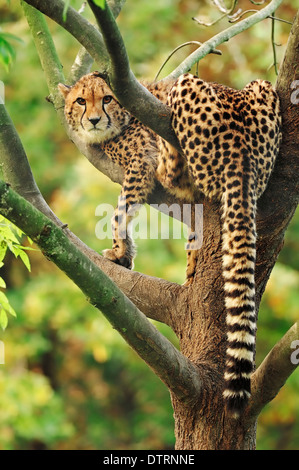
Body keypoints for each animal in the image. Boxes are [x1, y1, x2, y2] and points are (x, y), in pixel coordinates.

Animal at [59, 70, 284, 414]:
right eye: (81, 101)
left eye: (108, 98)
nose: (94, 120)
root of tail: (242, 148)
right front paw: (133, 255)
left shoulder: (139, 163)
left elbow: (120, 211)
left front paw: (120, 250)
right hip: (260, 88)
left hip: (187, 85)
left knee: (173, 171)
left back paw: (168, 151)